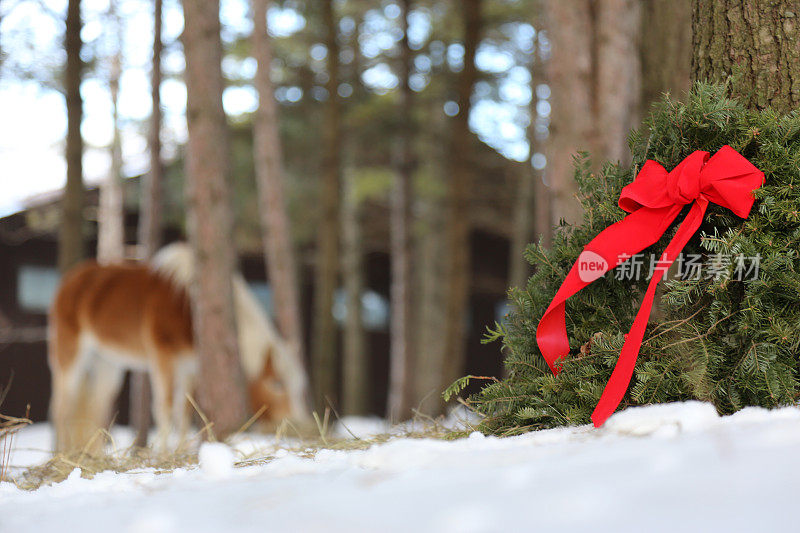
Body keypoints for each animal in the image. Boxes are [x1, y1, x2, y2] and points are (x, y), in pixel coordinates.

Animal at [47, 243, 310, 450]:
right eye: (277, 384)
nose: (300, 422)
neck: (187, 306)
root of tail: (70, 280)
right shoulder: (163, 358)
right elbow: (164, 407)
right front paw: (163, 453)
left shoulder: (189, 366)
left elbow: (183, 411)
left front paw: (180, 450)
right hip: (70, 355)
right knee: (62, 408)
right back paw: (60, 456)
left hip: (108, 362)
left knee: (96, 407)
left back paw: (95, 456)